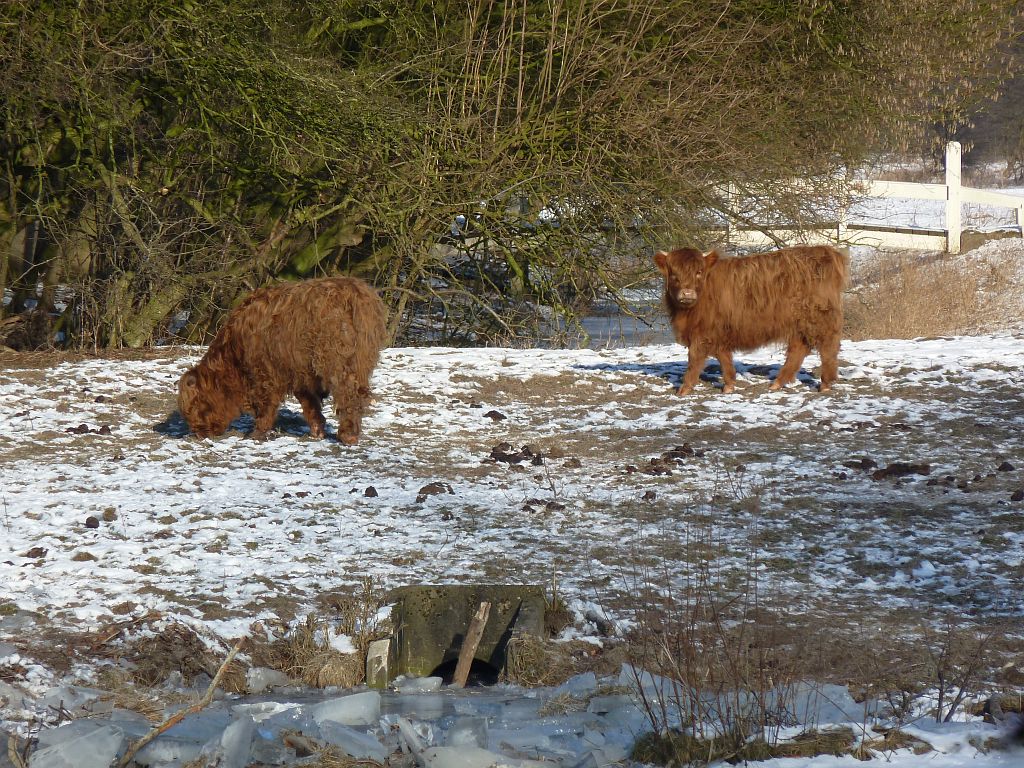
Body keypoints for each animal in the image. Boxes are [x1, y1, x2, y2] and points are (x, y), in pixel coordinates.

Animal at [178, 278, 385, 444]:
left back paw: (348, 436)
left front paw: (256, 433)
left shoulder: (265, 372)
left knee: (348, 393)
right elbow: (309, 404)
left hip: (337, 360)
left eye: (195, 406)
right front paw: (317, 431)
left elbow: (266, 405)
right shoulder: (301, 373)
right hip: (361, 359)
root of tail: (355, 292)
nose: (198, 434)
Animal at [655, 244, 847, 397]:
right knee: (798, 350)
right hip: (799, 324)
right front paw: (729, 385)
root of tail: (824, 251)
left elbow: (694, 360)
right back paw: (777, 383)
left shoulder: (702, 333)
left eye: (699, 272)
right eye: (674, 275)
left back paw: (825, 384)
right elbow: (724, 357)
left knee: (827, 349)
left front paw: (684, 389)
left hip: (819, 320)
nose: (687, 293)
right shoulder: (718, 332)